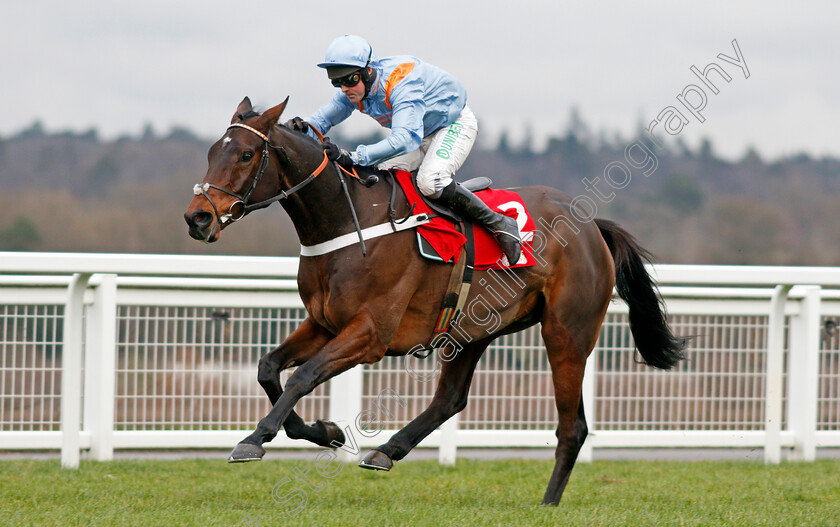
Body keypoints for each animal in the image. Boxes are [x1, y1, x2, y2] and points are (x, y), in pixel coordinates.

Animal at [182, 97, 684, 506]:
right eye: (210, 153)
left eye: (246, 154)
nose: (197, 218)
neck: (347, 221)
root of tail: (591, 225)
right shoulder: (325, 324)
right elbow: (269, 368)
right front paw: (325, 432)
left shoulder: (370, 334)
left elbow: (302, 377)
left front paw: (255, 438)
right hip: (474, 328)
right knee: (450, 399)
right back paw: (386, 452)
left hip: (567, 331)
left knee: (572, 426)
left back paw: (548, 503)